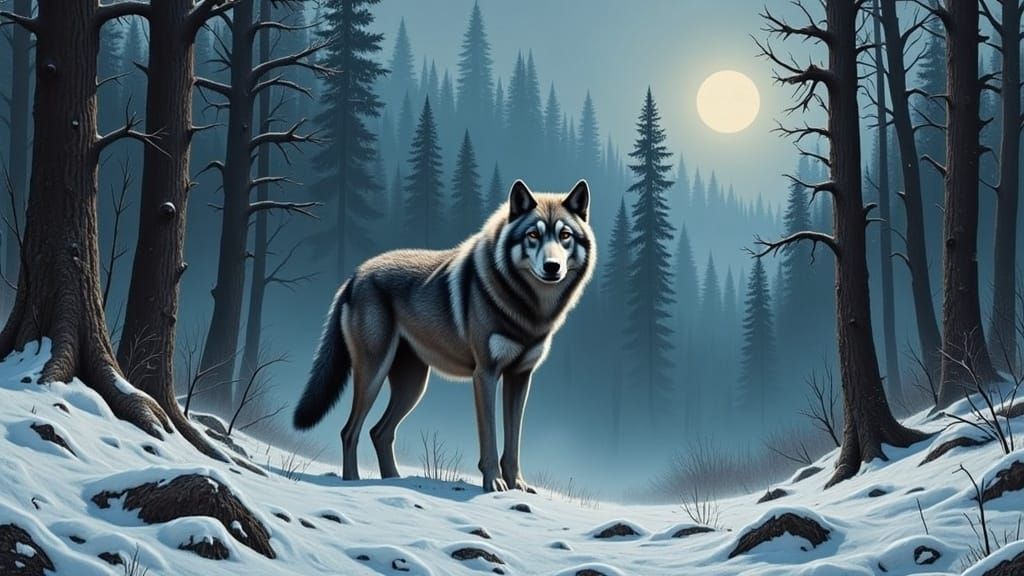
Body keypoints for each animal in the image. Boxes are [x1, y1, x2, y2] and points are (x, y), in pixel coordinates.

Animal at [293, 179, 595, 492]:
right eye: (533, 235)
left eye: (564, 235)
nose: (552, 267)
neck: (529, 310)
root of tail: (355, 276)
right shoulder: (485, 374)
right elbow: (490, 438)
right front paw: (494, 483)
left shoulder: (520, 378)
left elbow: (513, 444)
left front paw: (517, 485)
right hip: (374, 375)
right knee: (349, 431)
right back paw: (352, 482)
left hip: (413, 386)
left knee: (379, 432)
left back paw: (393, 480)